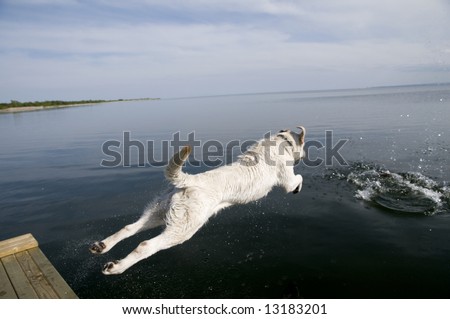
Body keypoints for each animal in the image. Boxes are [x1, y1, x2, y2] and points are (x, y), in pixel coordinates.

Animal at [89, 126, 306, 276]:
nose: (303, 155)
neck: (282, 142)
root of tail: (188, 181)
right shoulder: (287, 179)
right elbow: (297, 180)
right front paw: (298, 188)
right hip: (185, 228)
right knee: (146, 245)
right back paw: (115, 267)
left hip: (159, 212)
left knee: (129, 228)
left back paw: (101, 246)